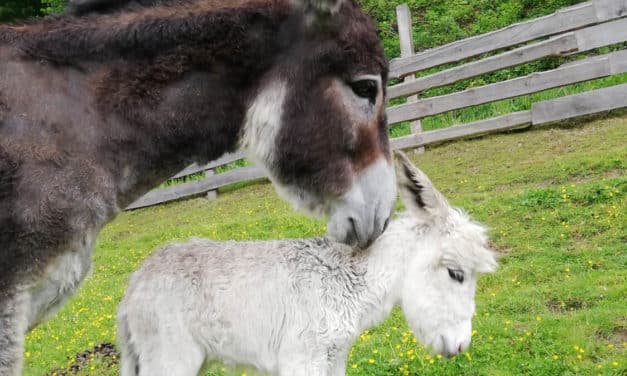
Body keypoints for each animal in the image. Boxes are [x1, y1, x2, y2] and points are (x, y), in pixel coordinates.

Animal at [118, 151, 498, 374]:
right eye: (456, 274)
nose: (461, 345)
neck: (349, 284)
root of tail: (135, 284)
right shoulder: (303, 358)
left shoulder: (334, 357)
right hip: (171, 358)